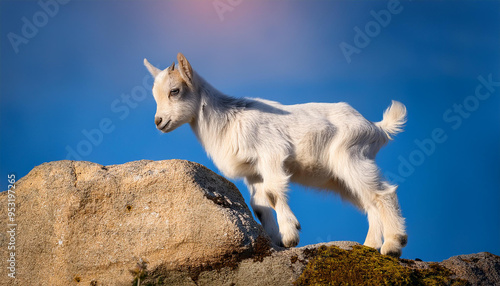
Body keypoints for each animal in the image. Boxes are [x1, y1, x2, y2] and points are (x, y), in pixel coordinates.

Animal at [144, 53, 406, 256]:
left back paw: (393, 245)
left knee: (383, 193)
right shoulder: (253, 172)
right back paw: (370, 246)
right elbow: (259, 205)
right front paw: (276, 240)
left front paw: (290, 236)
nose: (159, 122)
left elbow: (272, 193)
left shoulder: (271, 155)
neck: (228, 120)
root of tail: (376, 127)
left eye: (175, 90)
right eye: (155, 95)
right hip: (340, 177)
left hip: (351, 157)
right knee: (369, 202)